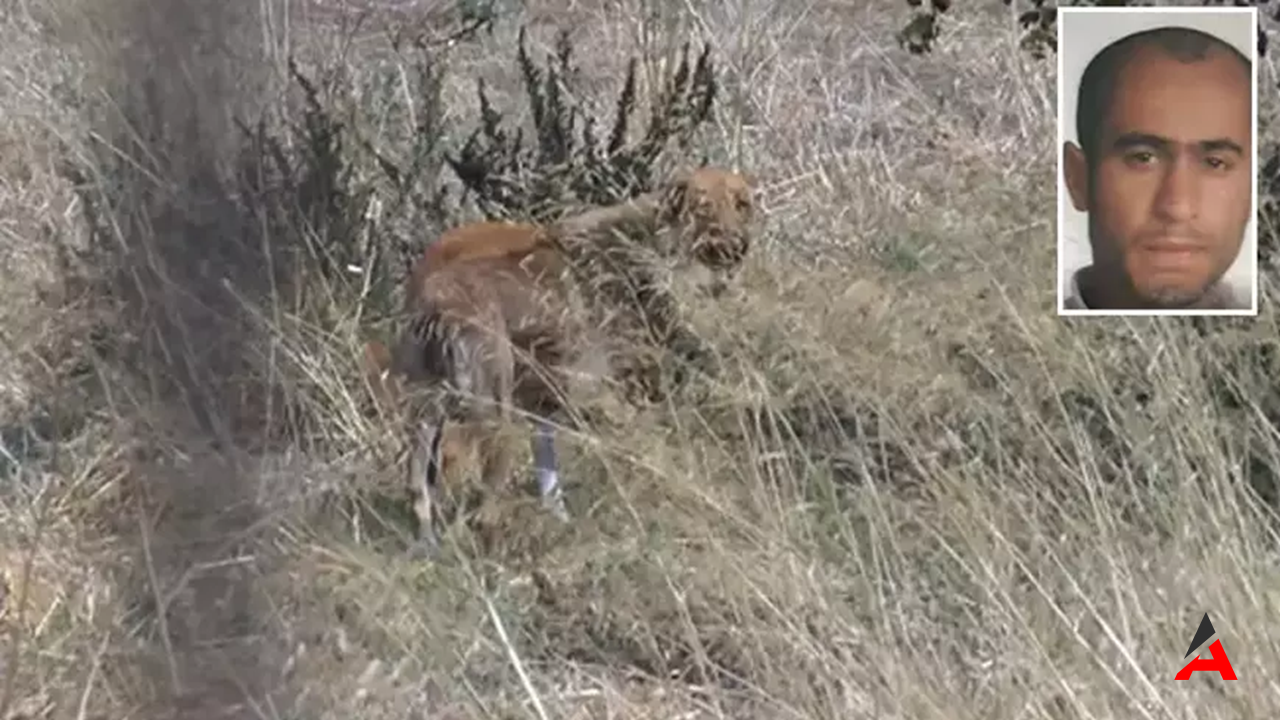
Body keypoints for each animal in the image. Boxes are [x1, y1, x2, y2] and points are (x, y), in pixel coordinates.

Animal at [371, 165, 747, 550]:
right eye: (703, 208)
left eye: (742, 204)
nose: (738, 246)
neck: (649, 239)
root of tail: (436, 298)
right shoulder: (613, 386)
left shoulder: (547, 395)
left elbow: (548, 468)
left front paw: (560, 519)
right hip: (491, 412)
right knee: (480, 498)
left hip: (426, 410)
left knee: (419, 485)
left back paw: (429, 546)